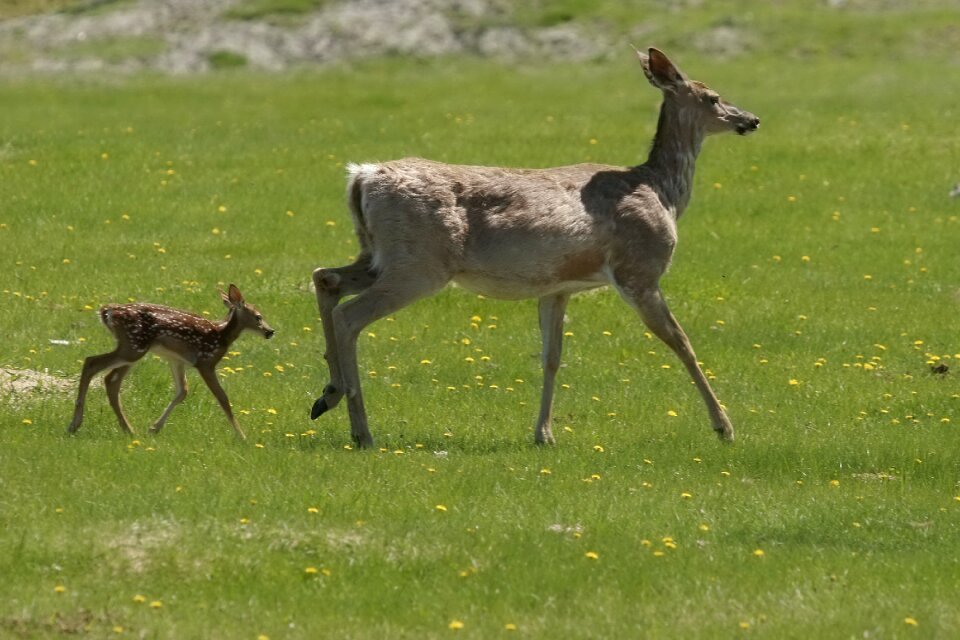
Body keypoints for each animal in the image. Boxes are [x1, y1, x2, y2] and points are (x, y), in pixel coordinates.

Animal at [67, 284, 274, 440]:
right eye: (258, 316)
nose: (270, 331)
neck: (221, 336)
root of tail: (107, 311)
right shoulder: (206, 362)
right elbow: (222, 397)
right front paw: (242, 437)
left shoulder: (176, 360)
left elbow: (183, 391)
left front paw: (154, 428)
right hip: (134, 347)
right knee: (92, 363)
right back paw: (76, 424)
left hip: (132, 347)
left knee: (110, 379)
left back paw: (125, 429)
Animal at [312, 48, 760, 450]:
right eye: (712, 96)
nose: (751, 119)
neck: (662, 192)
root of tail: (363, 176)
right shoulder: (639, 269)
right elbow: (680, 341)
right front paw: (724, 427)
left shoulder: (558, 287)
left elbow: (551, 356)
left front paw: (543, 434)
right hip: (418, 263)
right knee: (349, 315)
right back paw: (361, 431)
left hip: (378, 254)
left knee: (326, 278)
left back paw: (327, 396)